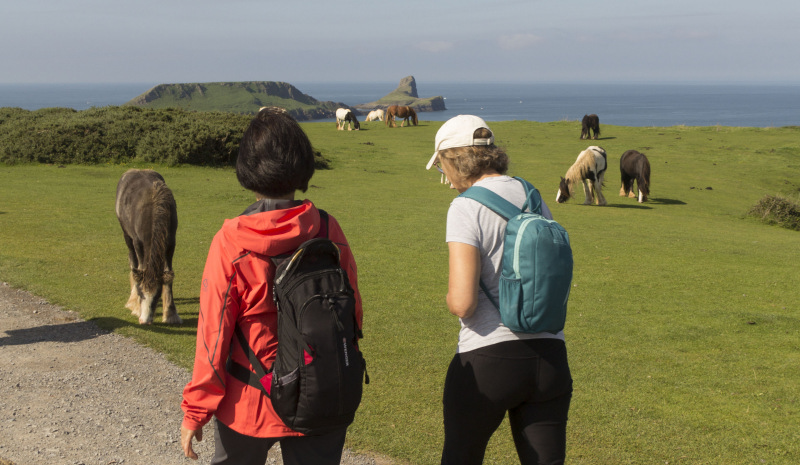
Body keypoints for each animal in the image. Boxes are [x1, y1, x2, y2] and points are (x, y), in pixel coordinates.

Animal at [115, 169, 180, 324]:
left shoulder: (170, 243)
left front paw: (171, 314)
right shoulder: (138, 242)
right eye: (141, 292)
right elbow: (140, 267)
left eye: (157, 295)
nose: (144, 321)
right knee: (133, 261)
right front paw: (136, 306)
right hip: (127, 235)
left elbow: (168, 274)